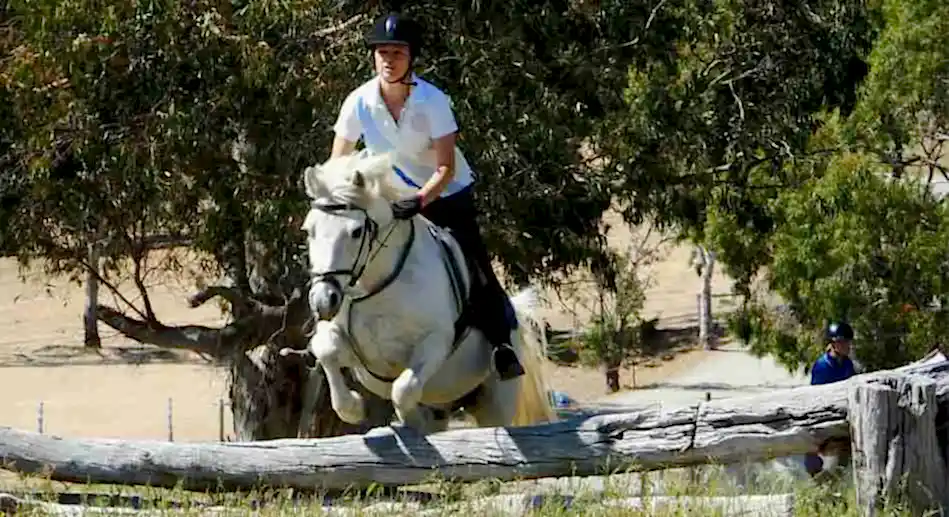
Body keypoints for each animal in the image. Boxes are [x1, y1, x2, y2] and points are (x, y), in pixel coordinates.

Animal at [284, 150, 558, 435]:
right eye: (309, 231)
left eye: (356, 232)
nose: (323, 300)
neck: (378, 286)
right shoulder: (352, 349)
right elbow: (327, 351)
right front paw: (354, 408)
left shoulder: (435, 343)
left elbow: (403, 390)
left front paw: (408, 423)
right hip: (445, 405)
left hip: (495, 401)